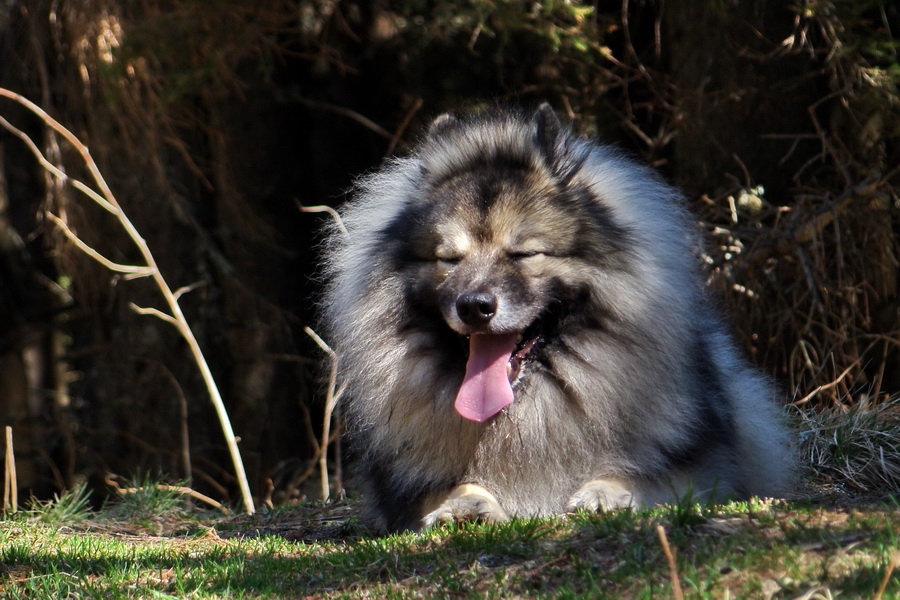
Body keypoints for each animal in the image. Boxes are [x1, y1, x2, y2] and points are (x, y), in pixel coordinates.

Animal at [318, 105, 796, 532]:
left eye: (524, 254)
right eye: (449, 260)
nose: (474, 306)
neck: (528, 407)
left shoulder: (706, 465)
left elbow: (648, 477)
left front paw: (609, 493)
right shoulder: (400, 490)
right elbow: (444, 489)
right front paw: (465, 503)